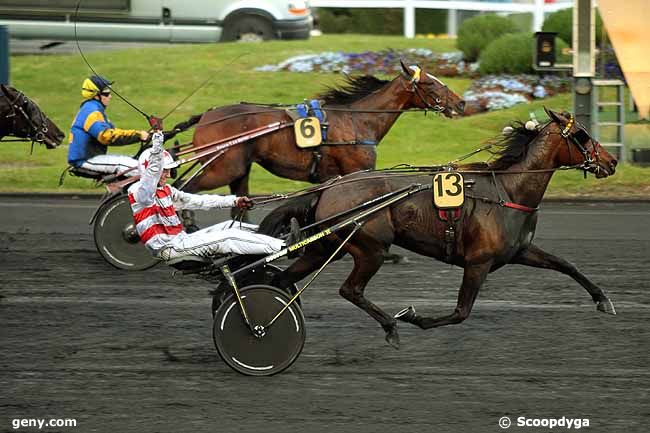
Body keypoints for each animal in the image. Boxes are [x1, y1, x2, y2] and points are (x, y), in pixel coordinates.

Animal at [182, 60, 464, 197]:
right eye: (430, 84)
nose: (461, 103)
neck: (357, 121)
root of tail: (206, 116)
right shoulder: (357, 171)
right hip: (224, 168)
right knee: (186, 189)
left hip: (239, 171)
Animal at [256, 108, 612, 348]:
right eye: (582, 135)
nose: (611, 162)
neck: (509, 193)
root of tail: (329, 187)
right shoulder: (478, 262)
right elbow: (460, 312)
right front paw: (413, 317)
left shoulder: (519, 251)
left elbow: (566, 264)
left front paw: (602, 299)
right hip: (370, 247)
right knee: (350, 290)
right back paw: (390, 326)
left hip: (325, 246)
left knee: (284, 279)